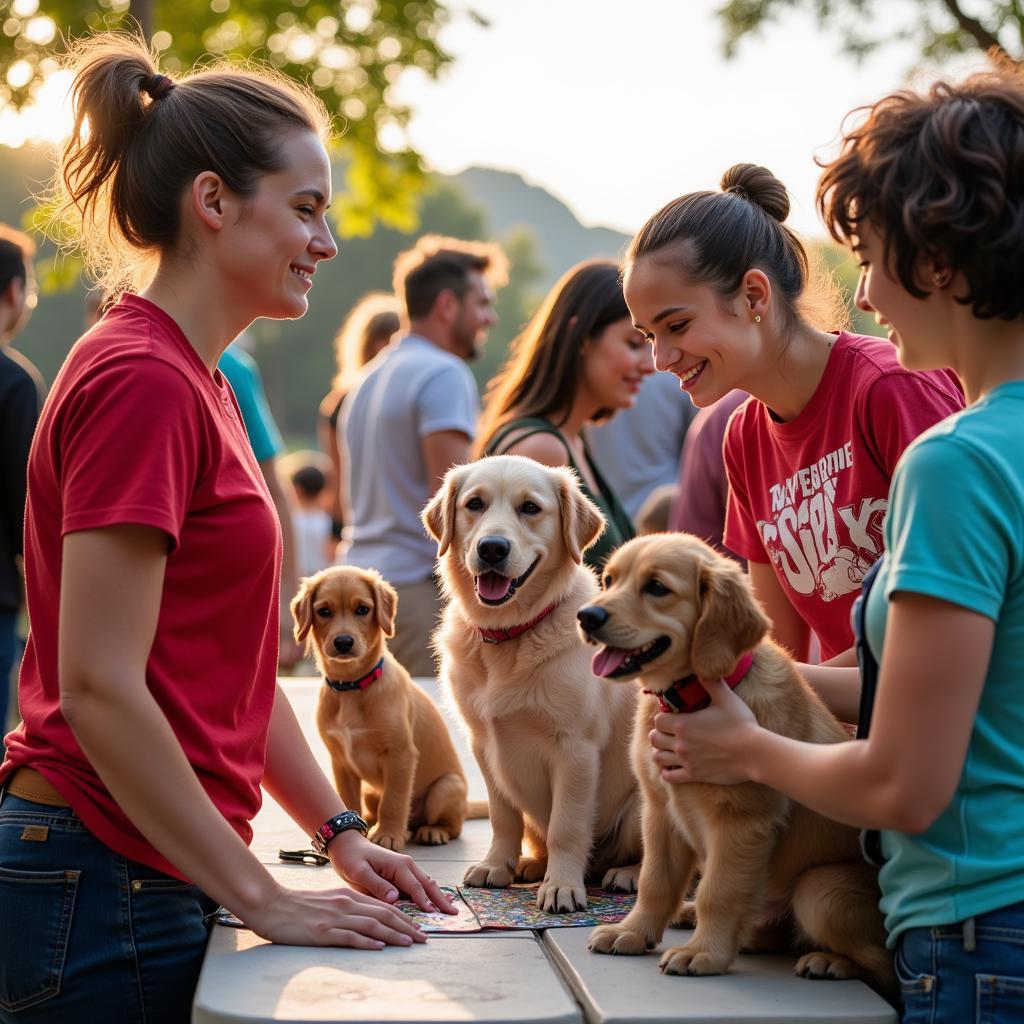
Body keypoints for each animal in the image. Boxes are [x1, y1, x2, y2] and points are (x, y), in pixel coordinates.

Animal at [290, 565, 477, 851]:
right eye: (324, 611)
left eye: (362, 609)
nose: (343, 642)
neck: (352, 686)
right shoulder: (341, 761)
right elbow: (347, 800)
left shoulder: (401, 754)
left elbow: (394, 799)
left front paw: (388, 834)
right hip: (370, 792)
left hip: (446, 788)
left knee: (451, 825)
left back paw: (432, 831)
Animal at [419, 456, 634, 913]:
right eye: (475, 504)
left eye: (530, 508)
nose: (492, 548)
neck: (510, 635)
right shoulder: (484, 744)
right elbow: (503, 817)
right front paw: (497, 865)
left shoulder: (576, 749)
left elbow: (566, 827)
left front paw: (562, 886)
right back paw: (532, 865)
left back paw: (624, 873)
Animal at [581, 532, 892, 995]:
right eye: (609, 580)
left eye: (657, 587)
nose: (587, 616)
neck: (693, 700)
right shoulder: (659, 812)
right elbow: (655, 882)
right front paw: (633, 932)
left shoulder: (741, 822)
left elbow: (720, 892)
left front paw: (703, 954)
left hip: (820, 890)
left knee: (880, 963)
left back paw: (829, 961)